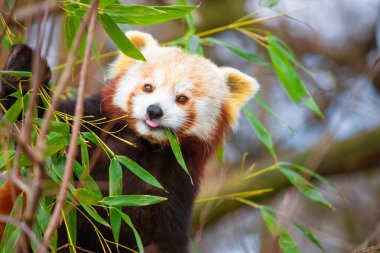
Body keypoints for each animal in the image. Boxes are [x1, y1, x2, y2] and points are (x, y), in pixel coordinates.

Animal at [0, 30, 260, 252]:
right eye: (148, 87)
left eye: (182, 99)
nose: (154, 111)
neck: (142, 147)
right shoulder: (82, 133)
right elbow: (29, 126)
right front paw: (25, 69)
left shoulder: (172, 193)